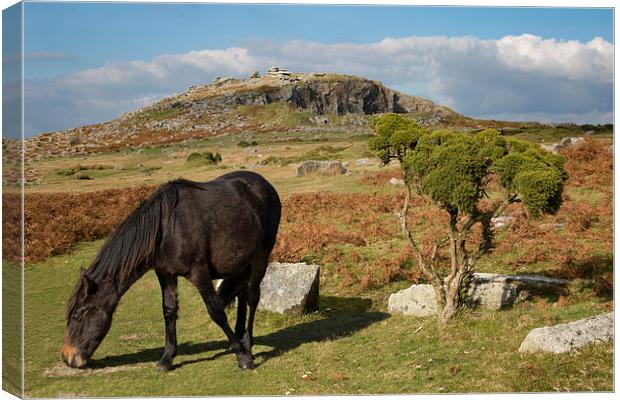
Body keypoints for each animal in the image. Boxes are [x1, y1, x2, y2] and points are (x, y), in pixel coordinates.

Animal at [61, 170, 280, 370]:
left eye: (78, 315)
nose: (67, 357)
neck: (166, 230)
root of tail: (264, 184)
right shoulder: (165, 273)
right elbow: (169, 311)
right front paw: (167, 358)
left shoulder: (199, 273)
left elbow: (216, 311)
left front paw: (241, 357)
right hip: (242, 261)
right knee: (242, 295)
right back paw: (243, 340)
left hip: (261, 255)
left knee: (252, 297)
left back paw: (247, 347)